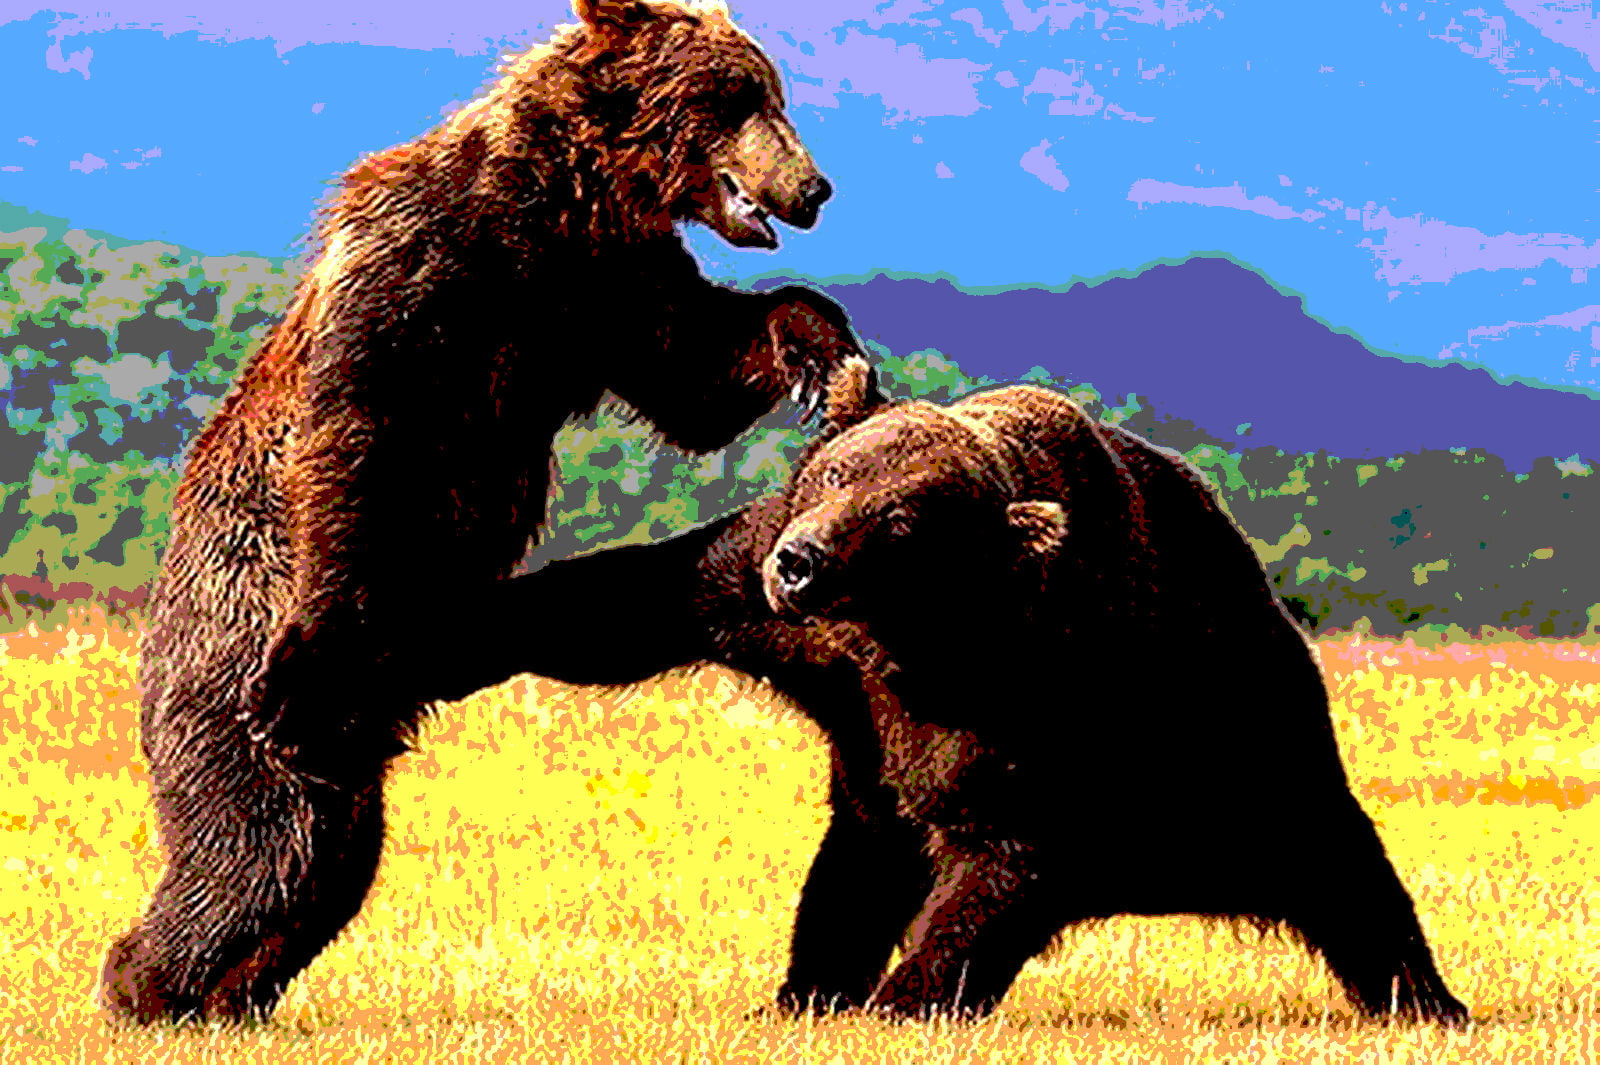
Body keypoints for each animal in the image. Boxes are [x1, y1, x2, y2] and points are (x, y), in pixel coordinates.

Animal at [103, 0, 873, 1024]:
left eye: (770, 93)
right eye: (743, 95)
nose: (816, 187)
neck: (561, 198)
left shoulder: (602, 281)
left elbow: (697, 367)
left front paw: (827, 349)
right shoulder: (432, 263)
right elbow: (363, 431)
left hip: (370, 721)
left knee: (327, 862)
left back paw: (233, 993)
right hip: (238, 670)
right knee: (261, 843)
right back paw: (145, 985)